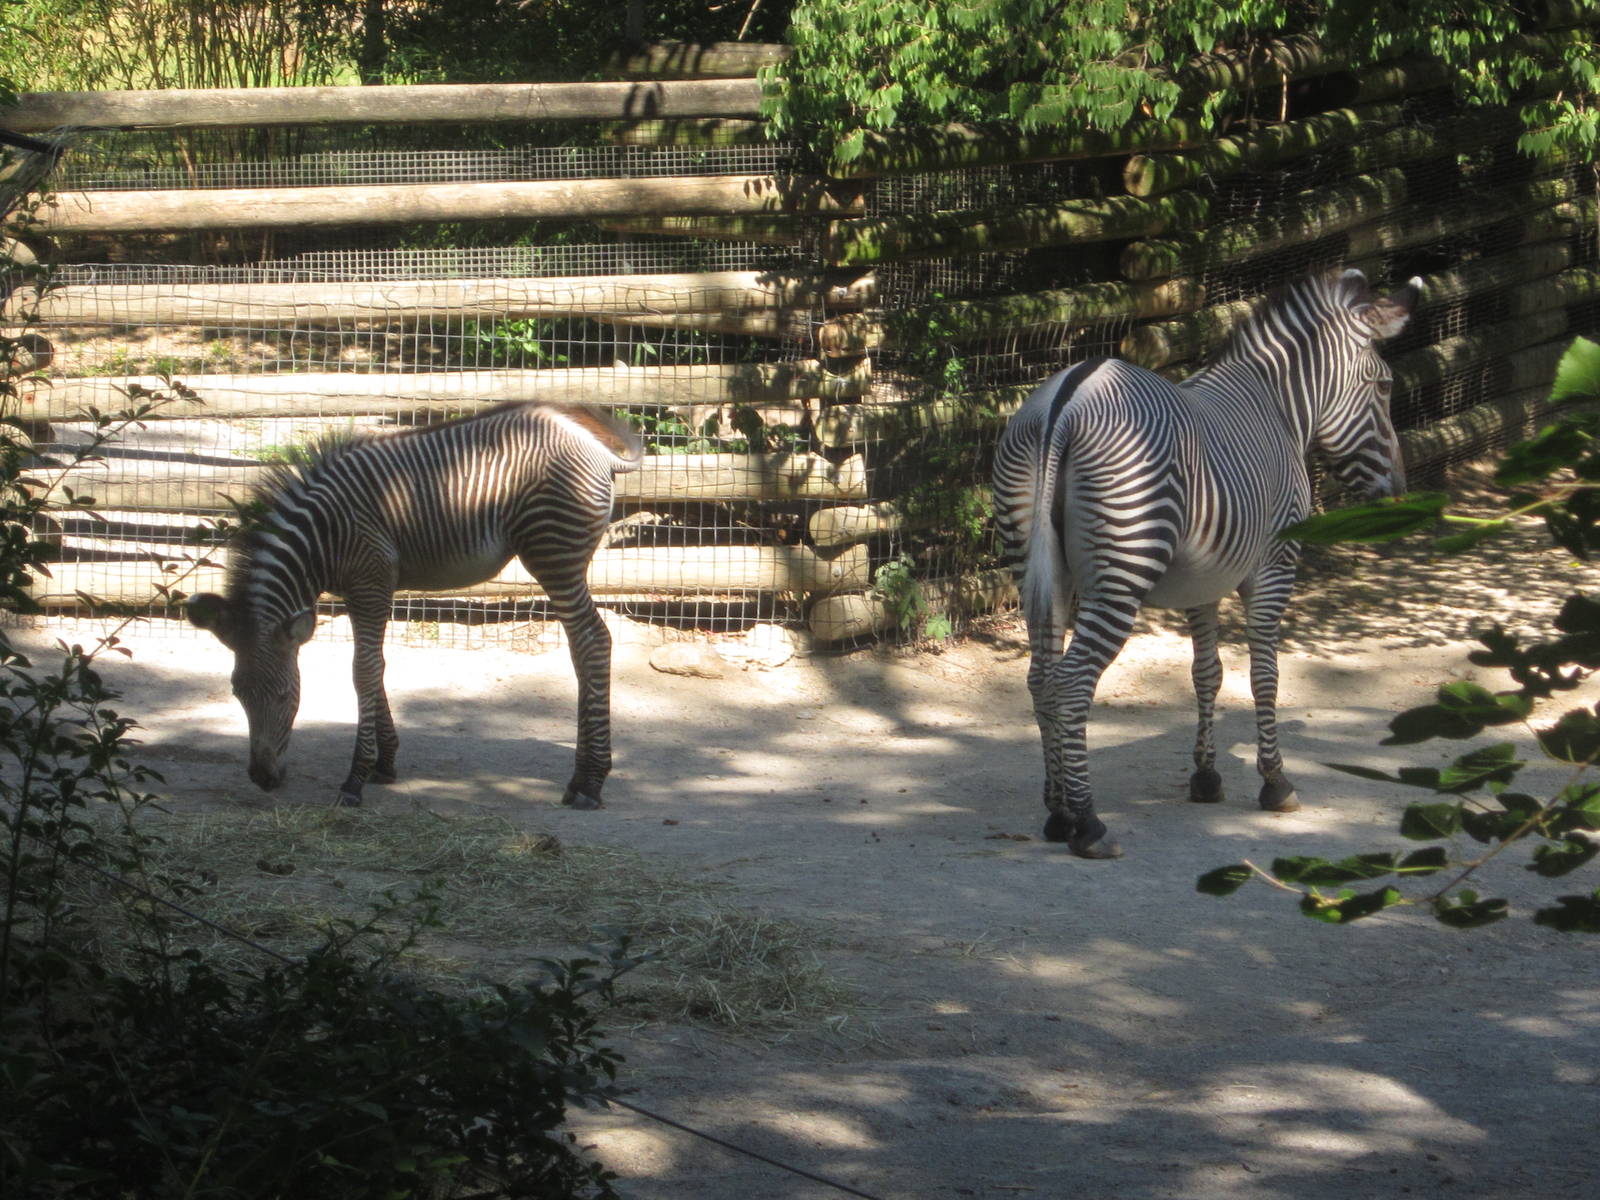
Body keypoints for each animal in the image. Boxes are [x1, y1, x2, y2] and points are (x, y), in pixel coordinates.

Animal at [186, 400, 643, 809]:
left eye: (285, 694)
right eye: (237, 693)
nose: (262, 779)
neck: (320, 536)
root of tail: (595, 448)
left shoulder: (371, 581)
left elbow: (364, 670)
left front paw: (355, 779)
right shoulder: (358, 588)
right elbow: (374, 667)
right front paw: (383, 763)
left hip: (553, 552)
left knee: (592, 641)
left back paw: (590, 782)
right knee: (583, 645)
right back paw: (584, 776)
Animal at [991, 269, 1419, 859]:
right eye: (1383, 387)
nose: (1399, 494)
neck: (1278, 408)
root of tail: (1066, 400)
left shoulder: (1204, 579)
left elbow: (1207, 673)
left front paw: (1206, 776)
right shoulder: (1275, 564)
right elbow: (1265, 673)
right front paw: (1275, 781)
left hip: (1038, 568)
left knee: (1041, 680)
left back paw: (1057, 812)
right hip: (1121, 571)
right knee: (1073, 683)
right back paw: (1089, 823)